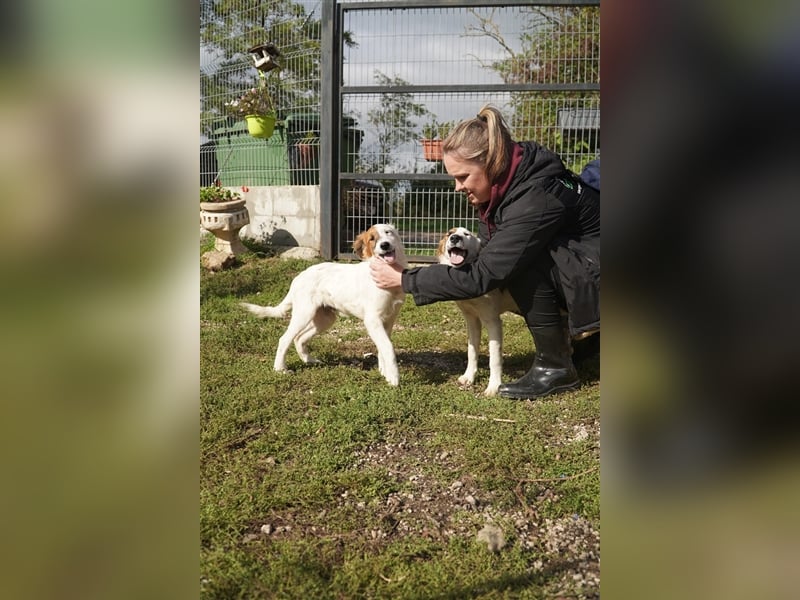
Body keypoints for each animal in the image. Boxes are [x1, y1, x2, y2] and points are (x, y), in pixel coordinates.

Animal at [241, 223, 410, 386]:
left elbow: (383, 347)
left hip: (325, 319)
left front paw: (384, 372)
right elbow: (388, 347)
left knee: (299, 338)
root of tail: (298, 278)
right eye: (372, 239)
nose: (385, 245)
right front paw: (394, 378)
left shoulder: (389, 320)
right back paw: (280, 368)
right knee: (285, 339)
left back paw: (309, 360)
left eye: (388, 232)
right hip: (303, 314)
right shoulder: (373, 320)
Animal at [438, 227, 520, 396]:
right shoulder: (471, 320)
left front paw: (494, 387)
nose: (455, 238)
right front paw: (469, 377)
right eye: (449, 233)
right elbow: (472, 351)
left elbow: (494, 359)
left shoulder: (493, 321)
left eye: (467, 234)